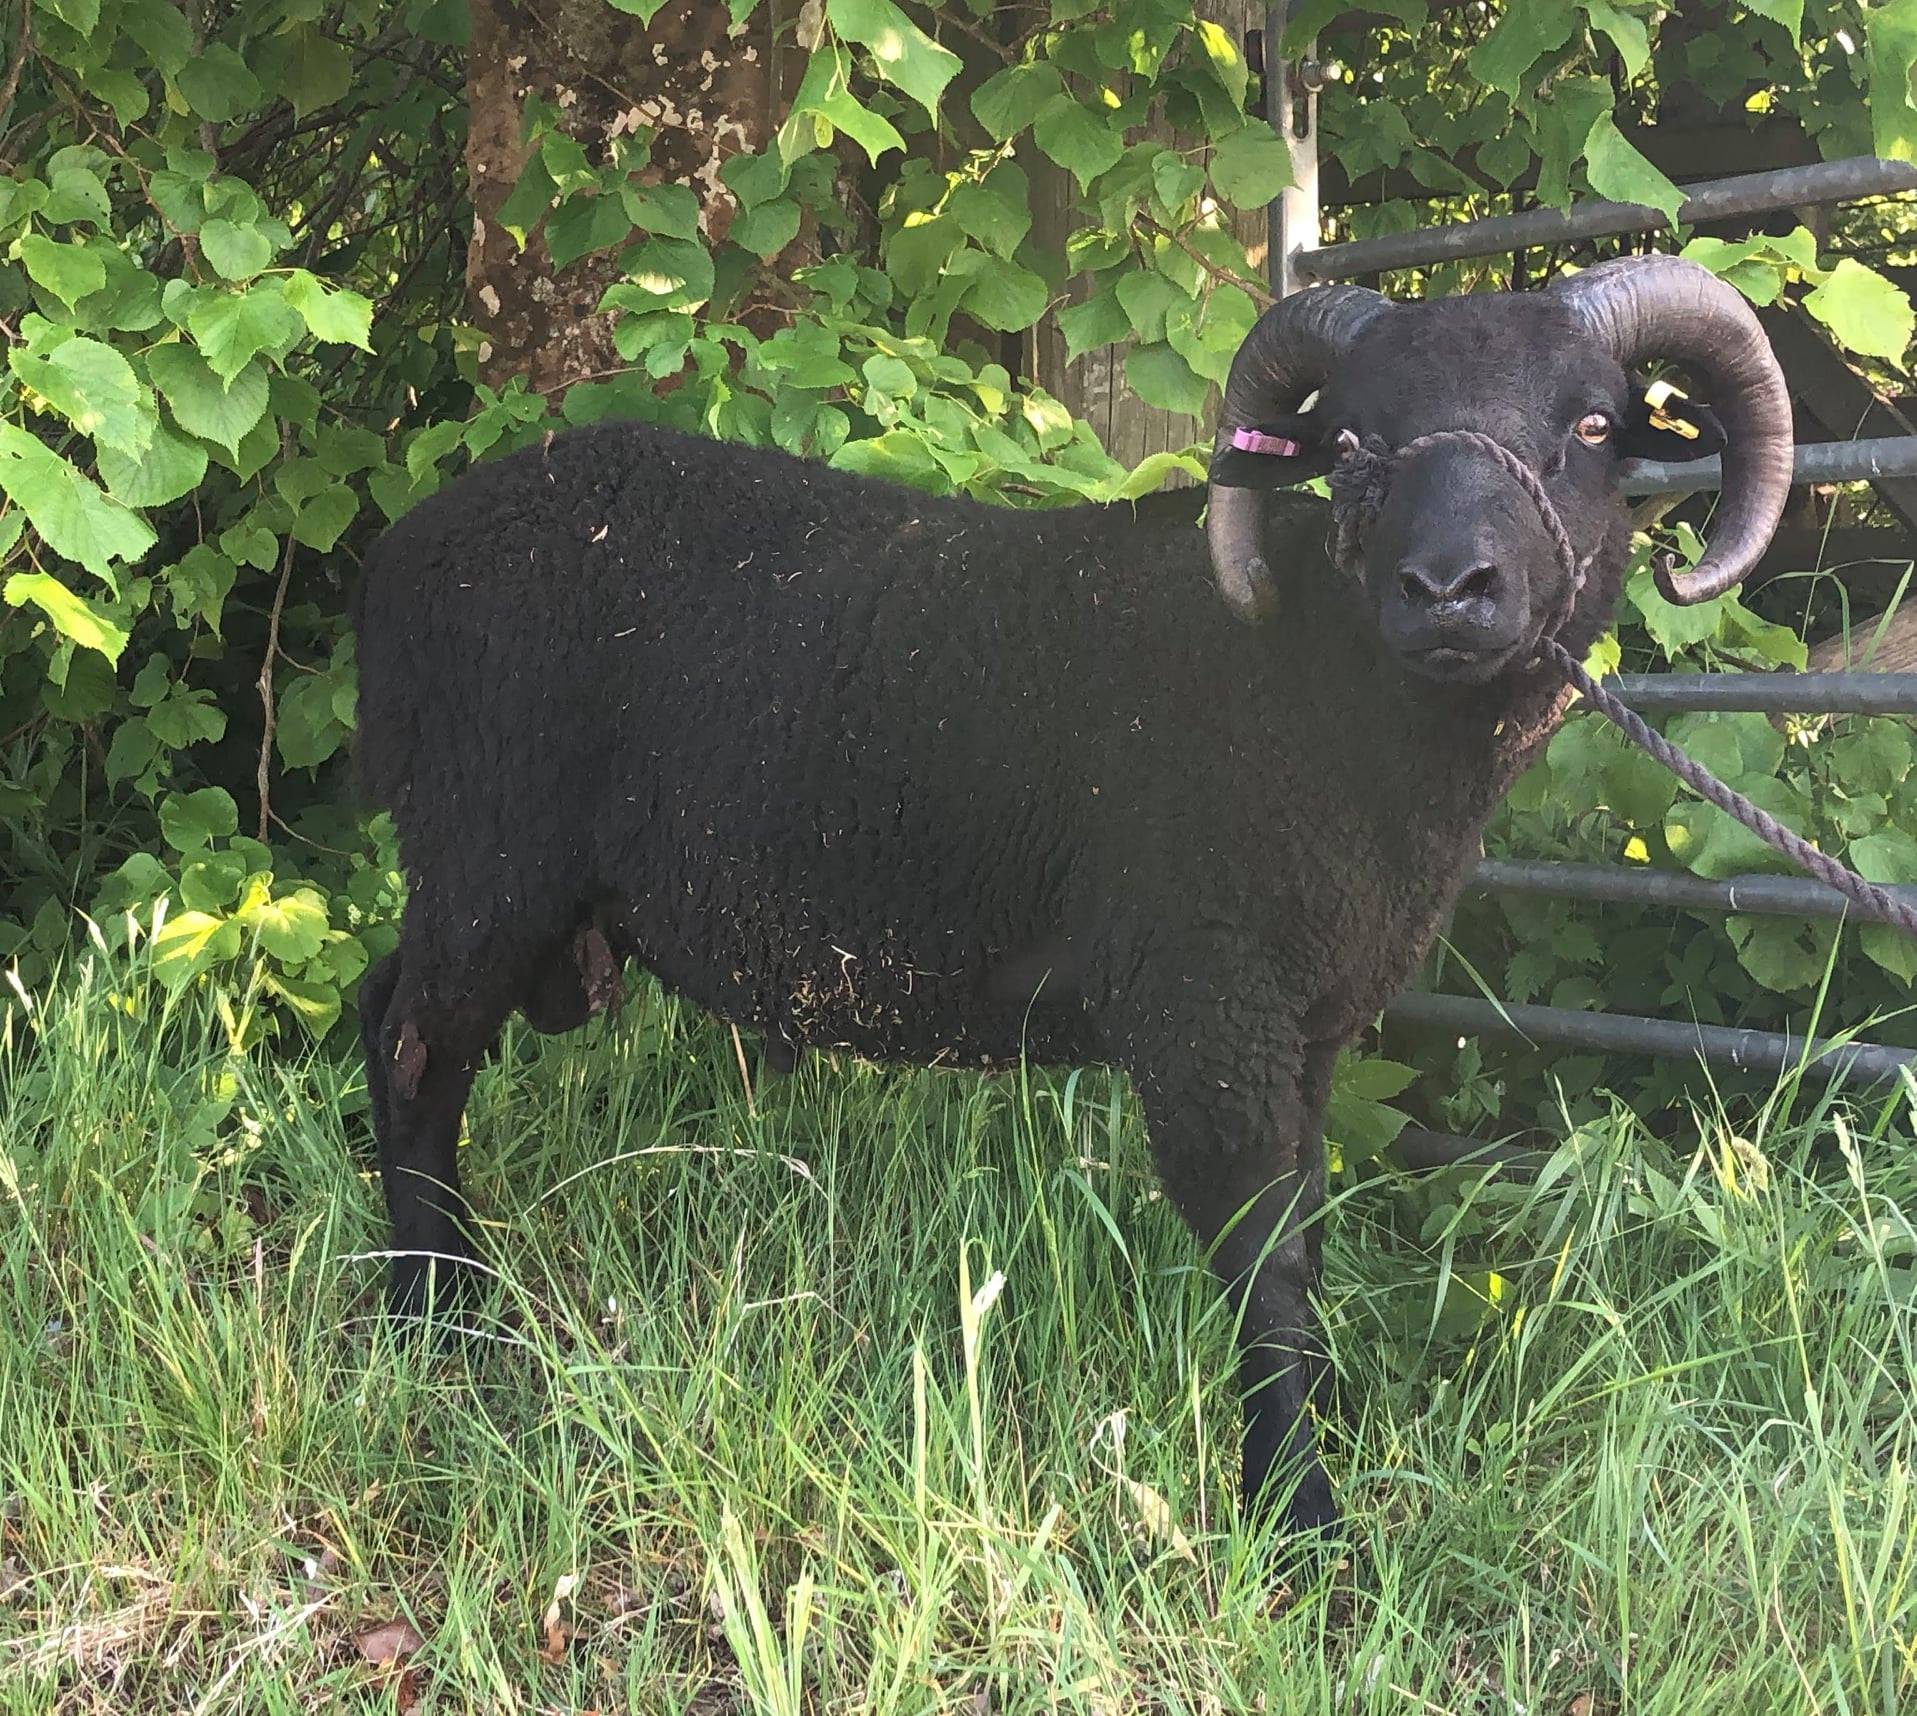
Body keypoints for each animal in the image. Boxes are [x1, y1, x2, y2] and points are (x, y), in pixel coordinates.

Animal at [356, 260, 1794, 1533]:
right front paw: (1299, 1517)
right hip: (490, 850)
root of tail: (400, 557)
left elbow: (1307, 1222)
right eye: (1353, 443)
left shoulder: (1309, 1021)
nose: (1448, 589)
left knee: (394, 1014)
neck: (1316, 684)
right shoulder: (1204, 990)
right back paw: (441, 1325)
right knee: (414, 1048)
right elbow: (1261, 1248)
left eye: (1592, 425)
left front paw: (1326, 1432)